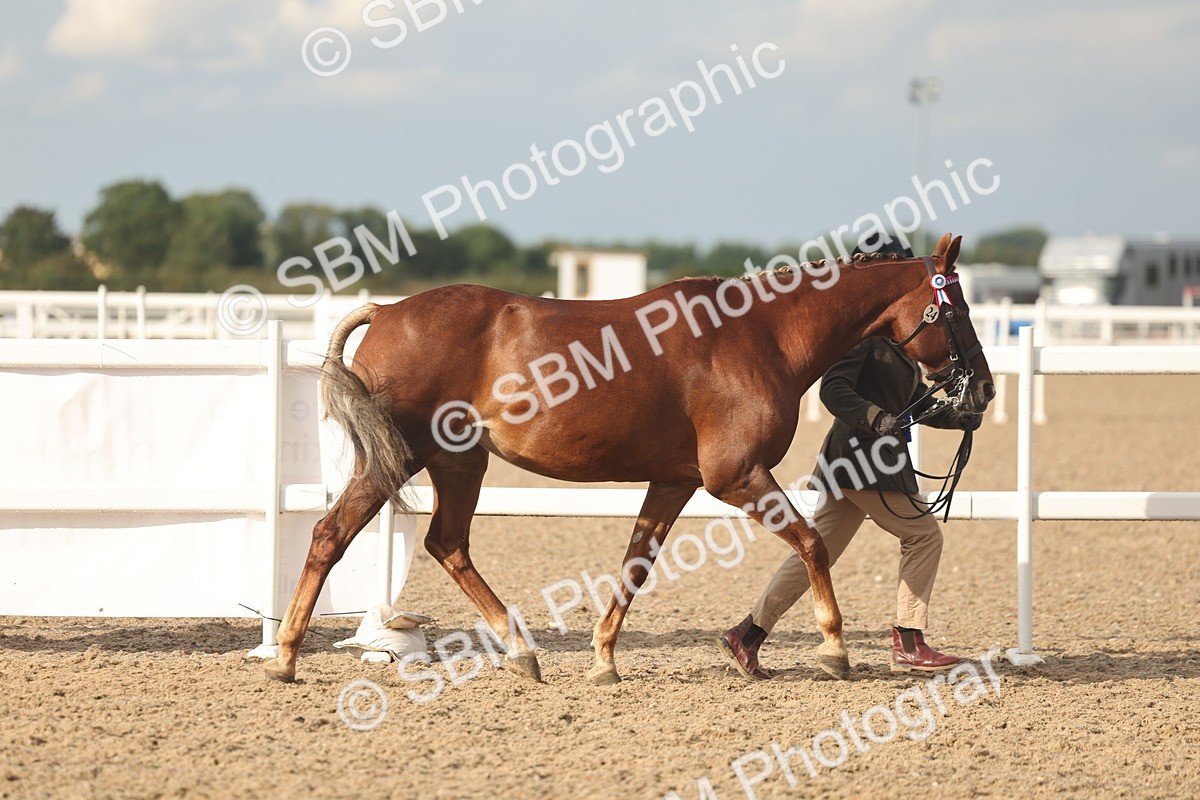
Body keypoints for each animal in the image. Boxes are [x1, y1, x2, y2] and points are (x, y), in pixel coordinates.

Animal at [263, 233, 994, 685]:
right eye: (957, 306)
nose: (981, 390)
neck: (760, 336)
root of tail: (386, 312)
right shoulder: (736, 477)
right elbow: (812, 543)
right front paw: (835, 648)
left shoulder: (673, 482)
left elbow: (634, 567)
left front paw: (604, 659)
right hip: (411, 459)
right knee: (332, 535)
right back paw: (285, 657)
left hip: (458, 463)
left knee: (447, 545)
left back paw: (522, 652)